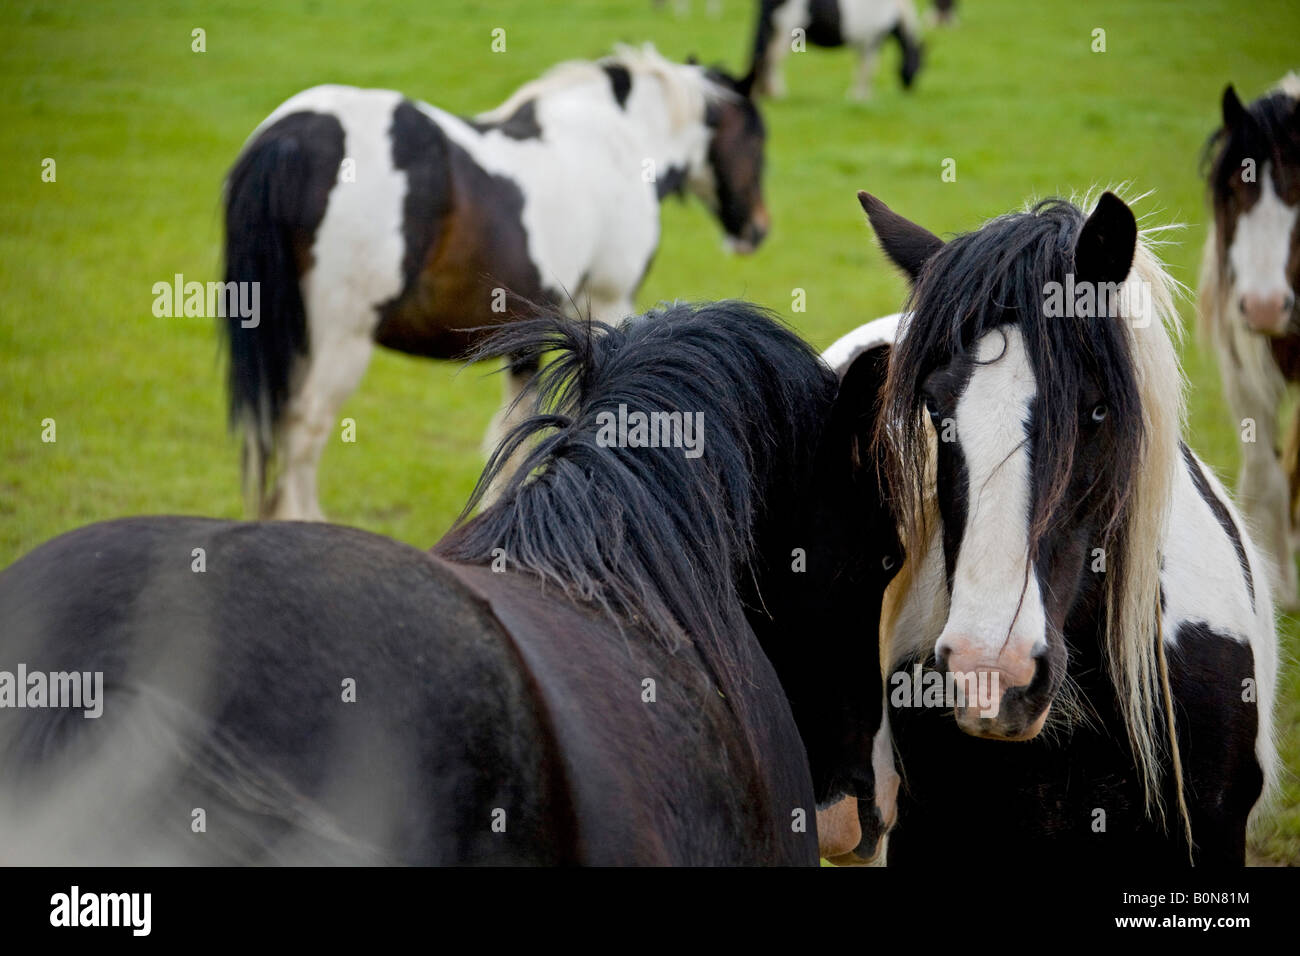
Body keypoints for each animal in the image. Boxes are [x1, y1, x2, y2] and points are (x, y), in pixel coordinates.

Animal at [218, 44, 764, 520]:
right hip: (342, 341)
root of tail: (292, 136)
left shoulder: (529, 338)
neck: (617, 141)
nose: (758, 229)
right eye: (756, 137)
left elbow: (515, 430)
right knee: (304, 428)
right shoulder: (608, 305)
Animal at [748, 0, 920, 100]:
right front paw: (861, 96)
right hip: (786, 31)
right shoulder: (873, 40)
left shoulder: (863, 43)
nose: (909, 89)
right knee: (773, 58)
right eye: (921, 66)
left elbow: (861, 68)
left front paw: (857, 95)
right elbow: (868, 69)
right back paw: (777, 92)